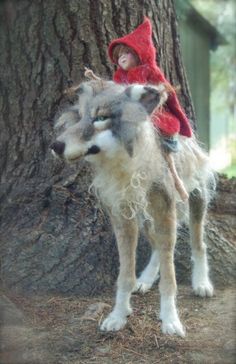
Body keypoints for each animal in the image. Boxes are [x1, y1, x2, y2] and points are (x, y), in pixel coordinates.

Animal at [51, 81, 214, 336]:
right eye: (79, 116)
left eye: (101, 118)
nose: (55, 145)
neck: (128, 165)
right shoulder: (123, 218)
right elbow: (125, 275)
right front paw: (118, 316)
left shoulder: (165, 211)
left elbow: (170, 279)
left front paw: (170, 320)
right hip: (145, 219)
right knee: (158, 247)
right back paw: (145, 279)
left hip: (196, 201)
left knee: (198, 244)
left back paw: (202, 283)